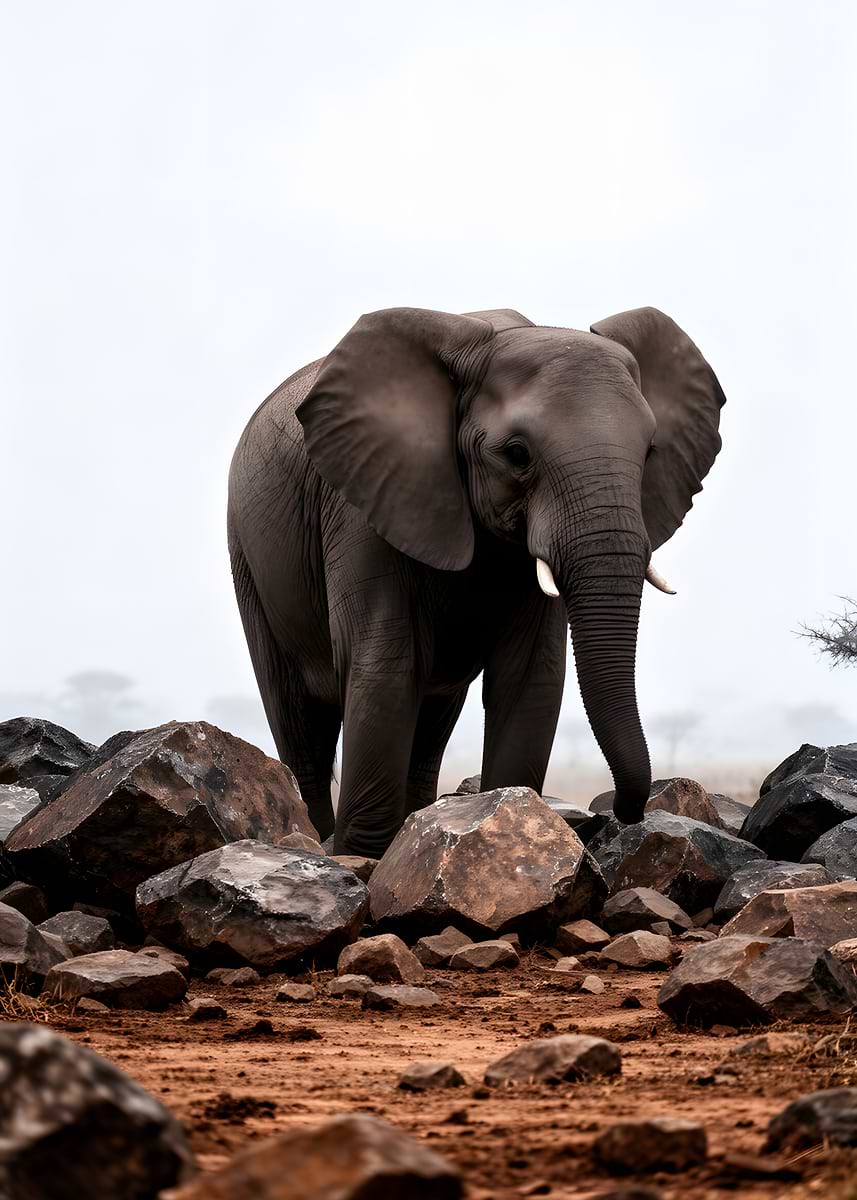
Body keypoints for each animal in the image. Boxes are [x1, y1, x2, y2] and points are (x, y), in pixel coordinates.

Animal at [227, 306, 724, 857]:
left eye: (651, 451)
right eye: (517, 453)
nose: (623, 811)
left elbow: (531, 676)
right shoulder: (364, 503)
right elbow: (386, 667)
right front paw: (362, 855)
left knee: (429, 725)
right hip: (248, 555)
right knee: (299, 720)